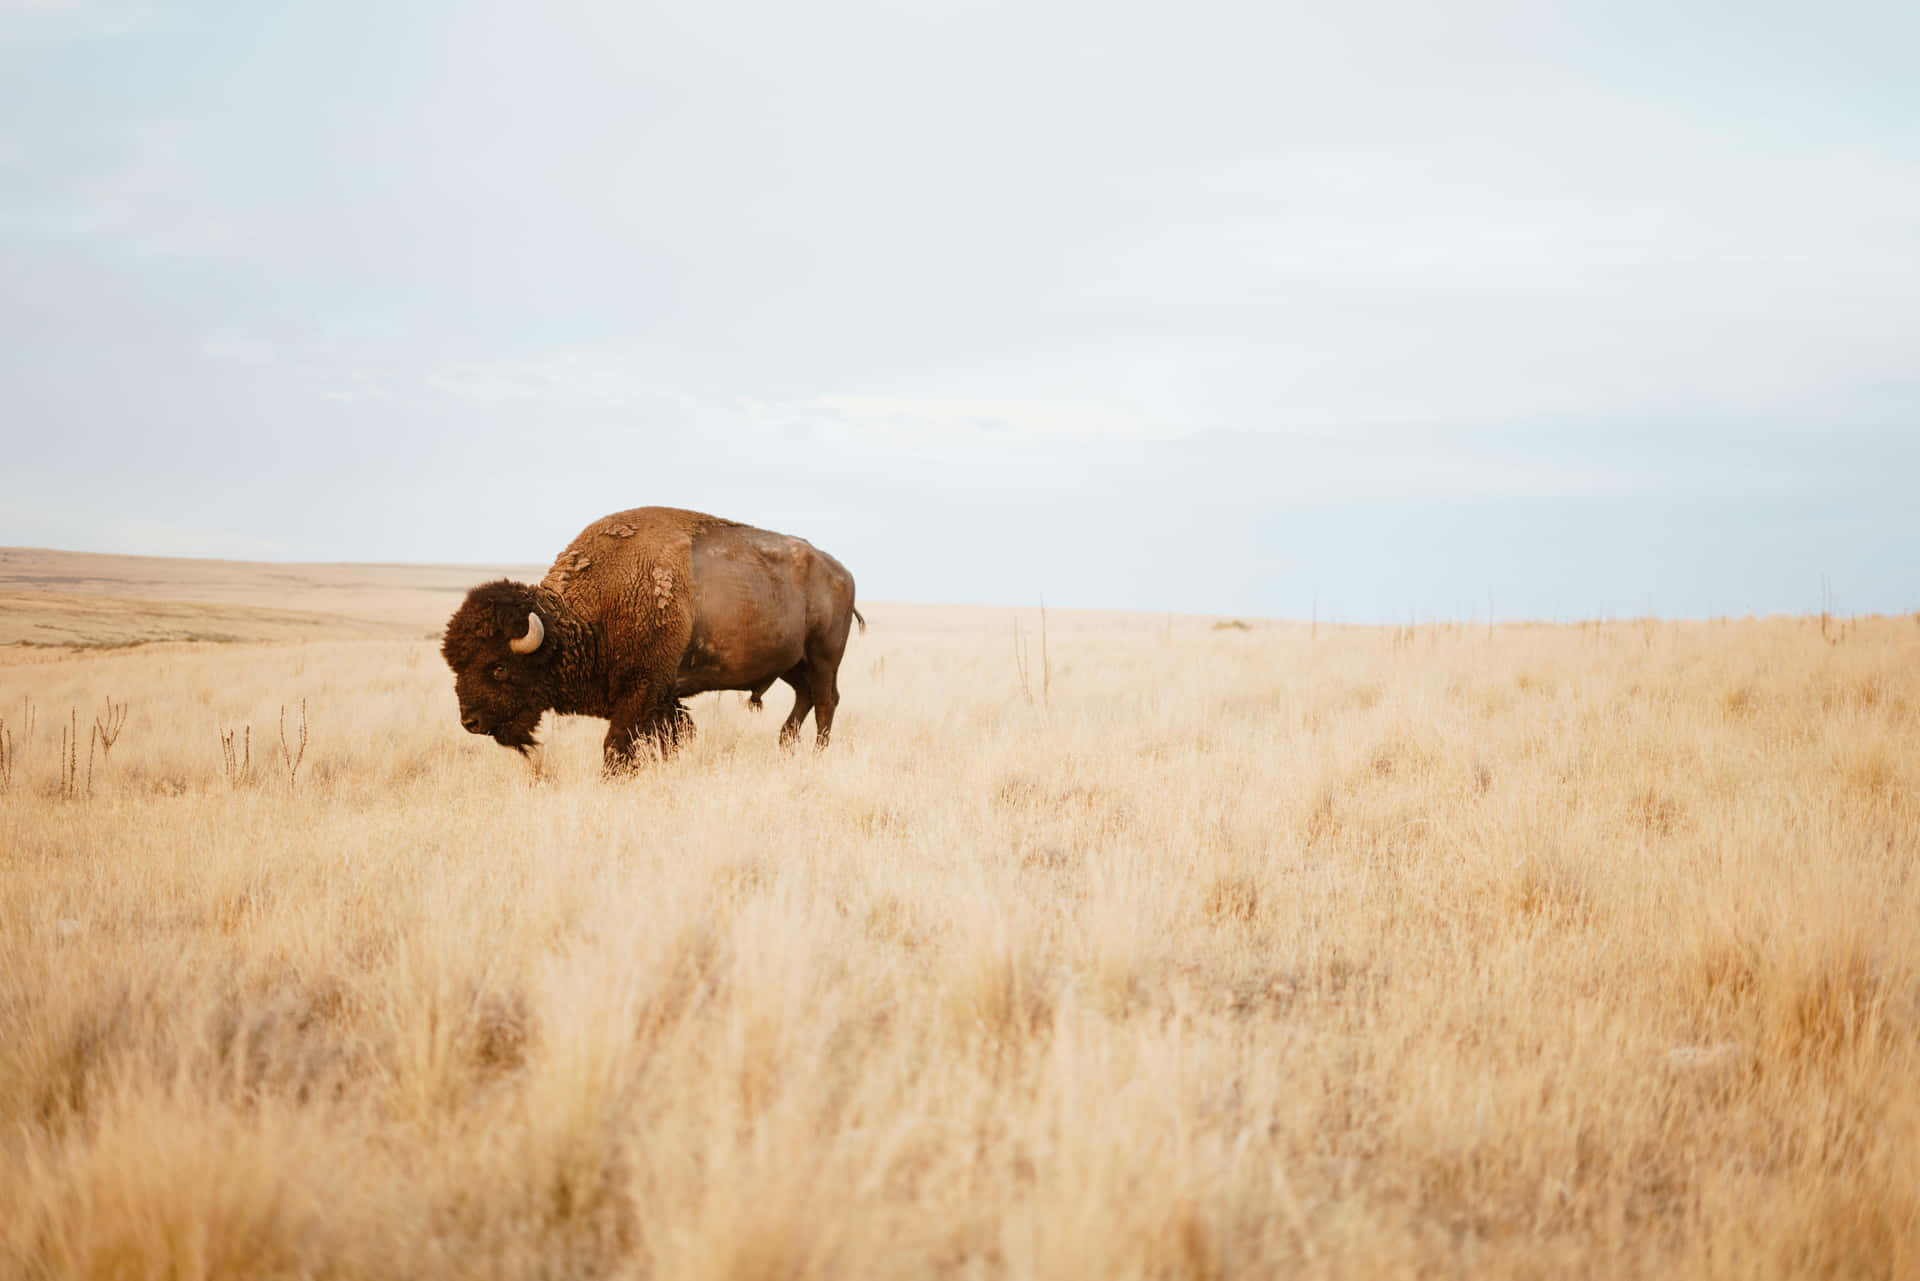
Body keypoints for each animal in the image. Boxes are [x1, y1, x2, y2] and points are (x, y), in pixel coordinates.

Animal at [441, 507, 864, 772]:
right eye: (456, 665)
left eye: (498, 667)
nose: (470, 721)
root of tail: (842, 572)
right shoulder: (661, 698)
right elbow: (668, 738)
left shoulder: (641, 691)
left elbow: (617, 745)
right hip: (792, 663)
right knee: (805, 698)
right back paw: (785, 745)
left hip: (823, 656)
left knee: (825, 702)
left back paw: (816, 754)